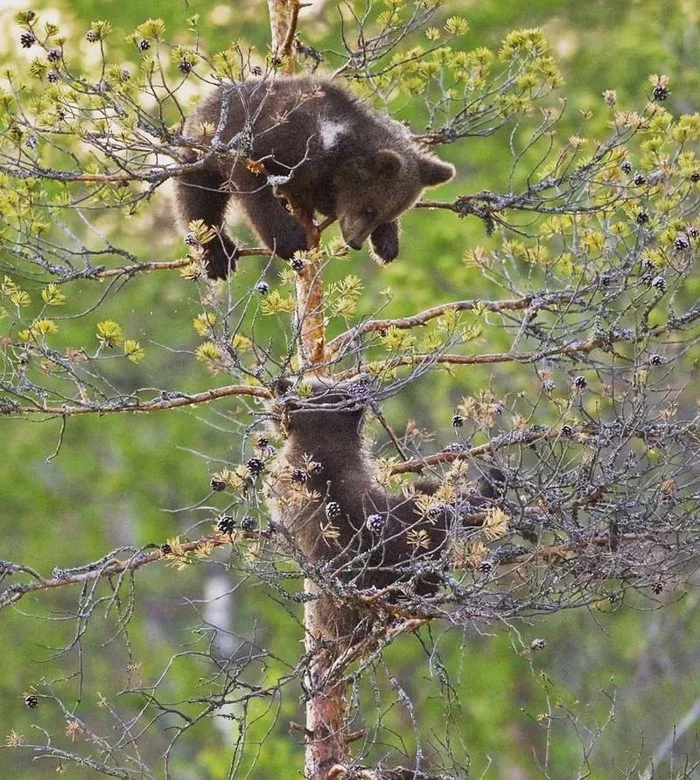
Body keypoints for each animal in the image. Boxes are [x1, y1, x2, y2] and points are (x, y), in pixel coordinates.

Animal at [174, 77, 455, 279]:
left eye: (382, 215)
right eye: (369, 209)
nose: (355, 243)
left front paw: (387, 245)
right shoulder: (277, 139)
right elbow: (254, 190)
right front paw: (291, 238)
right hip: (203, 150)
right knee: (199, 200)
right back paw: (219, 256)